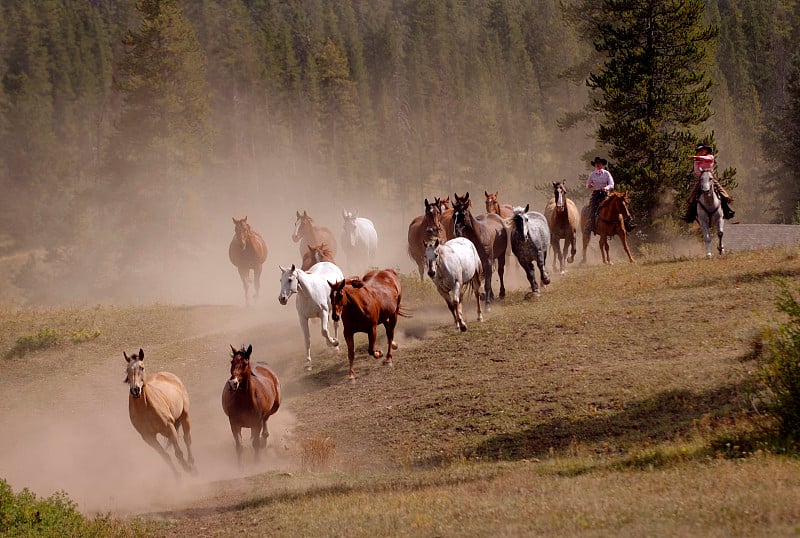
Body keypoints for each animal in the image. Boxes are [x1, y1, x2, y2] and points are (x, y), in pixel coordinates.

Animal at [123, 346, 195, 476]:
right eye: (127, 370)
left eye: (142, 367)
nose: (135, 390)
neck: (145, 409)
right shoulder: (149, 438)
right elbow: (166, 456)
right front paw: (178, 477)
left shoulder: (170, 428)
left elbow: (178, 453)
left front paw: (187, 469)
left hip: (185, 416)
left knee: (187, 439)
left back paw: (192, 465)